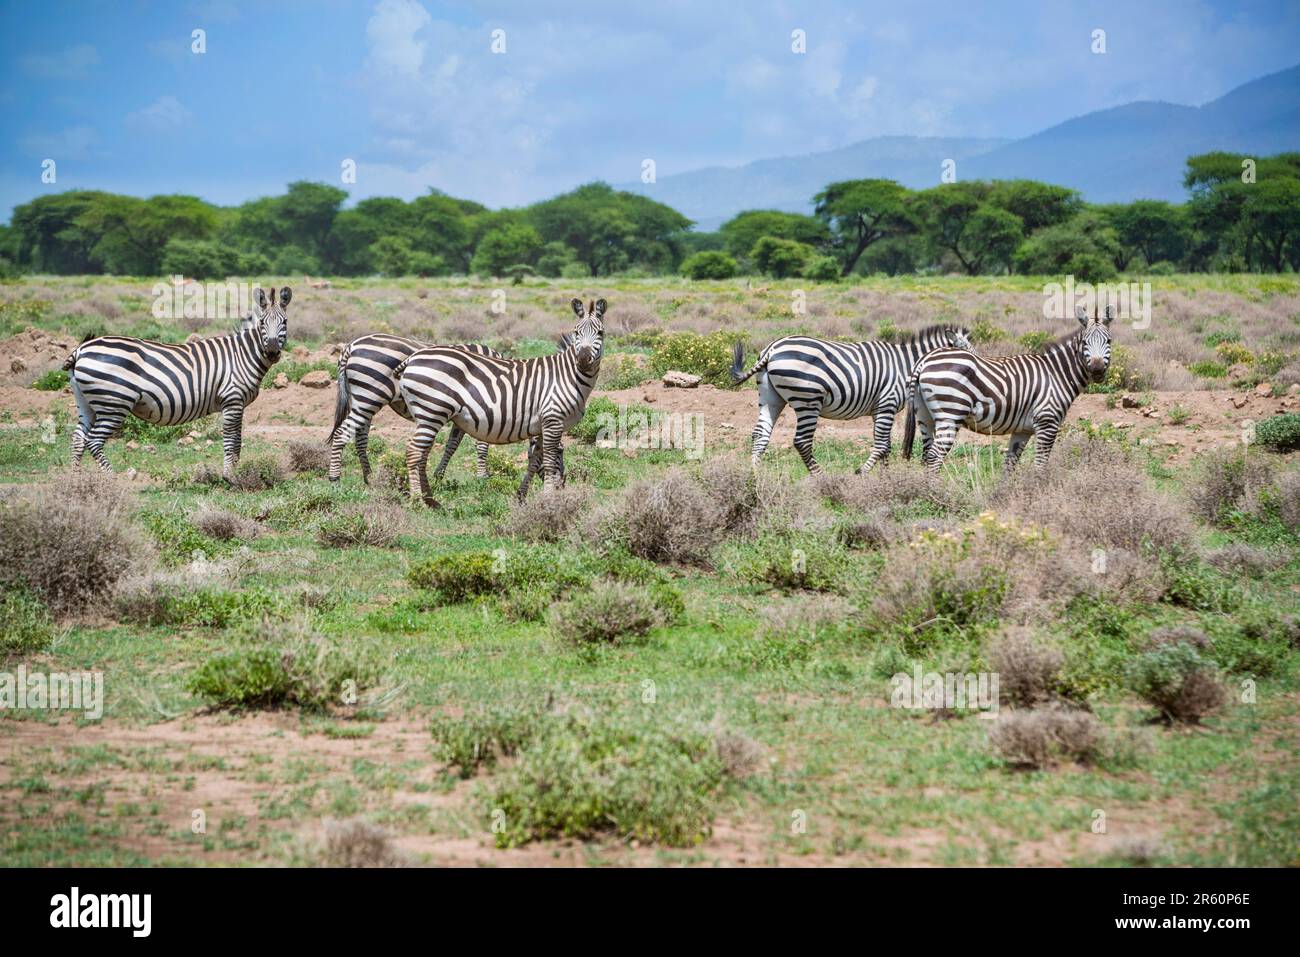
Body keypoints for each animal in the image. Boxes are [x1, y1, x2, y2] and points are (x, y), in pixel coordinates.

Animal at [63, 283, 292, 478]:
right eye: (262, 323)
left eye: (285, 322)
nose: (272, 352)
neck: (242, 354)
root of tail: (81, 349)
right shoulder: (233, 399)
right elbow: (232, 441)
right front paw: (230, 478)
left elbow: (236, 441)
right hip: (113, 403)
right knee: (94, 441)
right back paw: (111, 480)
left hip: (88, 402)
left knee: (78, 438)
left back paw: (75, 481)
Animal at [392, 299, 605, 509]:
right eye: (576, 332)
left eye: (600, 333)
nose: (583, 361)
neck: (567, 376)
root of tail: (413, 357)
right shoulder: (553, 419)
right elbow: (548, 461)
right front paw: (549, 499)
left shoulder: (542, 424)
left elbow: (535, 460)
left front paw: (521, 496)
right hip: (432, 411)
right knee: (414, 452)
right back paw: (418, 501)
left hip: (428, 415)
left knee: (422, 454)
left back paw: (430, 499)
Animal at [728, 325, 972, 475]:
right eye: (969, 354)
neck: (908, 365)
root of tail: (772, 348)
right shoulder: (887, 404)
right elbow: (881, 445)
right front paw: (865, 473)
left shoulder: (878, 410)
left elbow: (886, 446)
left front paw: (886, 477)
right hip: (808, 400)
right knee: (802, 441)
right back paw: (819, 476)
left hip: (771, 396)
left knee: (760, 434)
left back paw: (755, 474)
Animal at [904, 304, 1118, 473]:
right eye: (1084, 342)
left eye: (1109, 341)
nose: (1097, 370)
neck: (1057, 373)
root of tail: (924, 360)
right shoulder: (1047, 423)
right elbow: (1040, 465)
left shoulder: (1022, 430)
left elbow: (1010, 464)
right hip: (951, 413)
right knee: (934, 456)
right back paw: (935, 494)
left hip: (924, 416)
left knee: (926, 455)